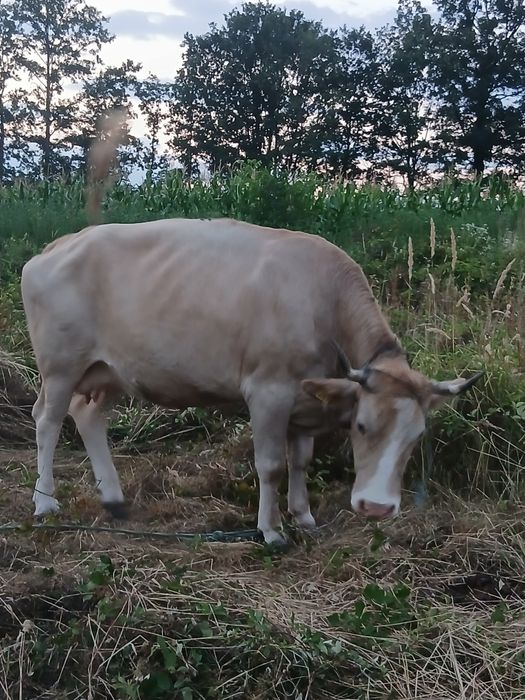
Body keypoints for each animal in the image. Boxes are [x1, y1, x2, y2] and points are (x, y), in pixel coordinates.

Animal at [20, 117, 482, 545]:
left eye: (416, 437)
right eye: (362, 426)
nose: (377, 508)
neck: (323, 300)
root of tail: (58, 245)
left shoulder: (305, 400)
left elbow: (301, 460)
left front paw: (304, 517)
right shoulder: (268, 391)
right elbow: (272, 465)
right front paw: (272, 530)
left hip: (112, 368)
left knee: (87, 416)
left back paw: (114, 500)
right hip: (60, 364)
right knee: (47, 419)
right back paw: (45, 503)